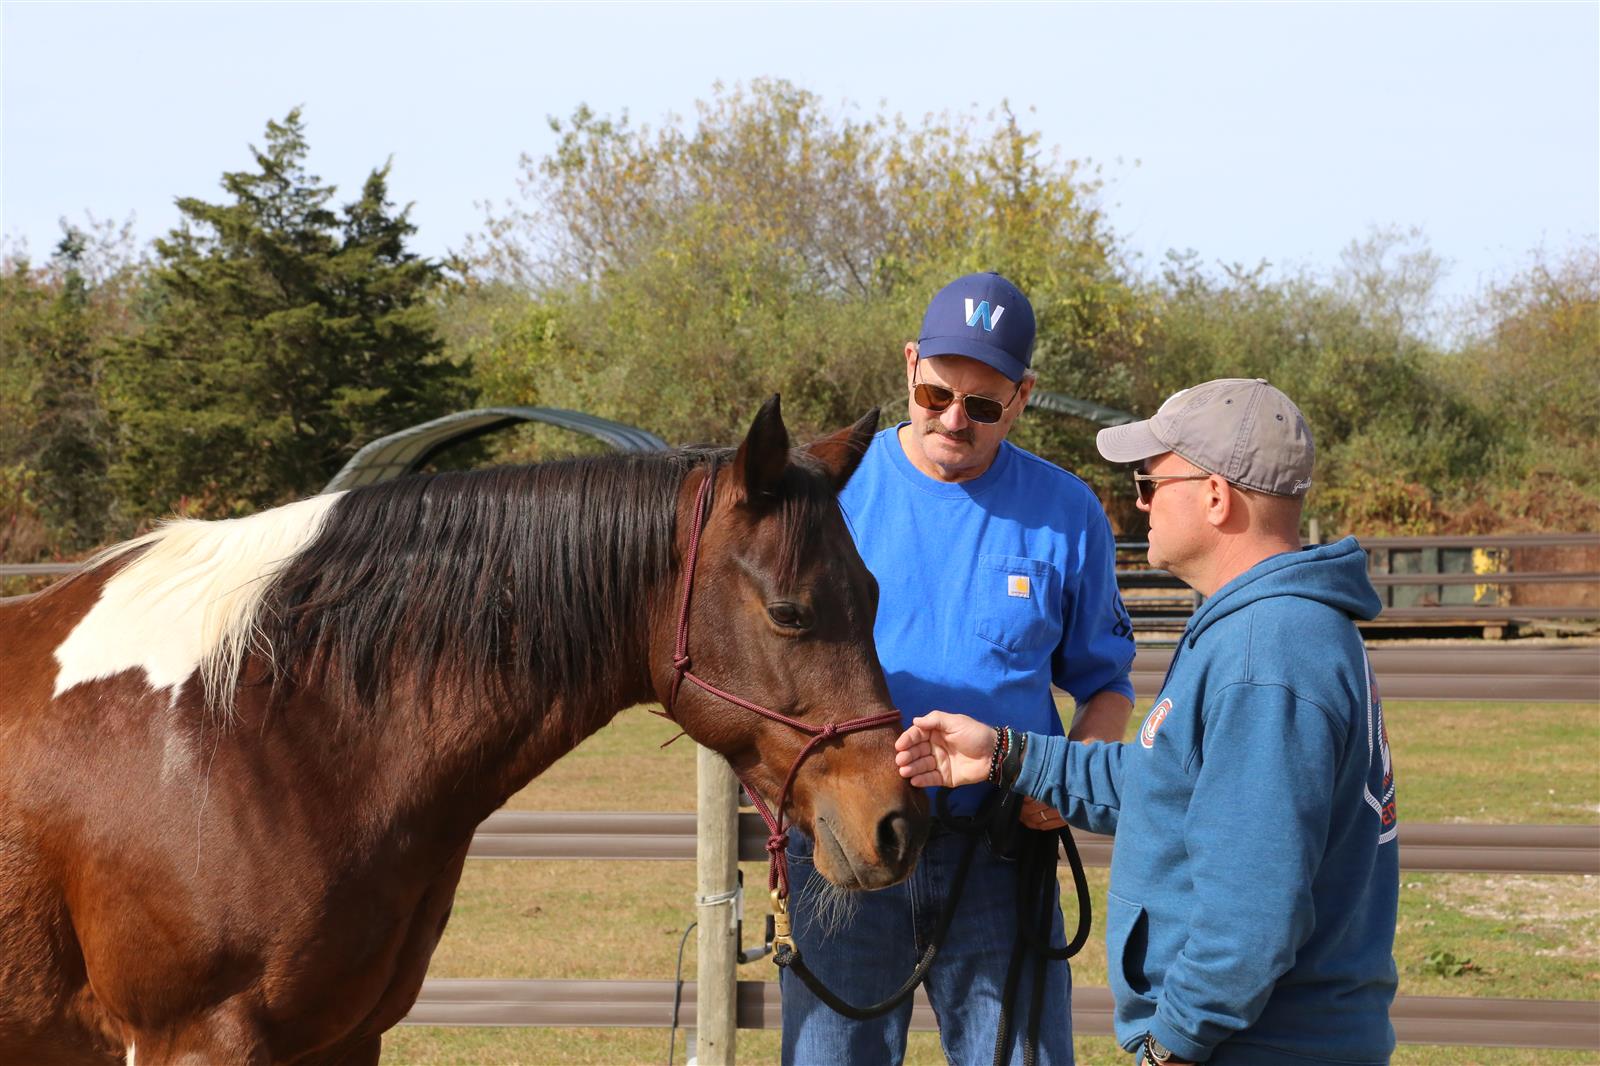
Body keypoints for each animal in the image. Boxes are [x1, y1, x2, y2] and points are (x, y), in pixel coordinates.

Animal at [0, 396, 929, 1065]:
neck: (251, 734)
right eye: (789, 612)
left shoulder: (344, 1040)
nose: (894, 825)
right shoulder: (192, 1039)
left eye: (877, 595)